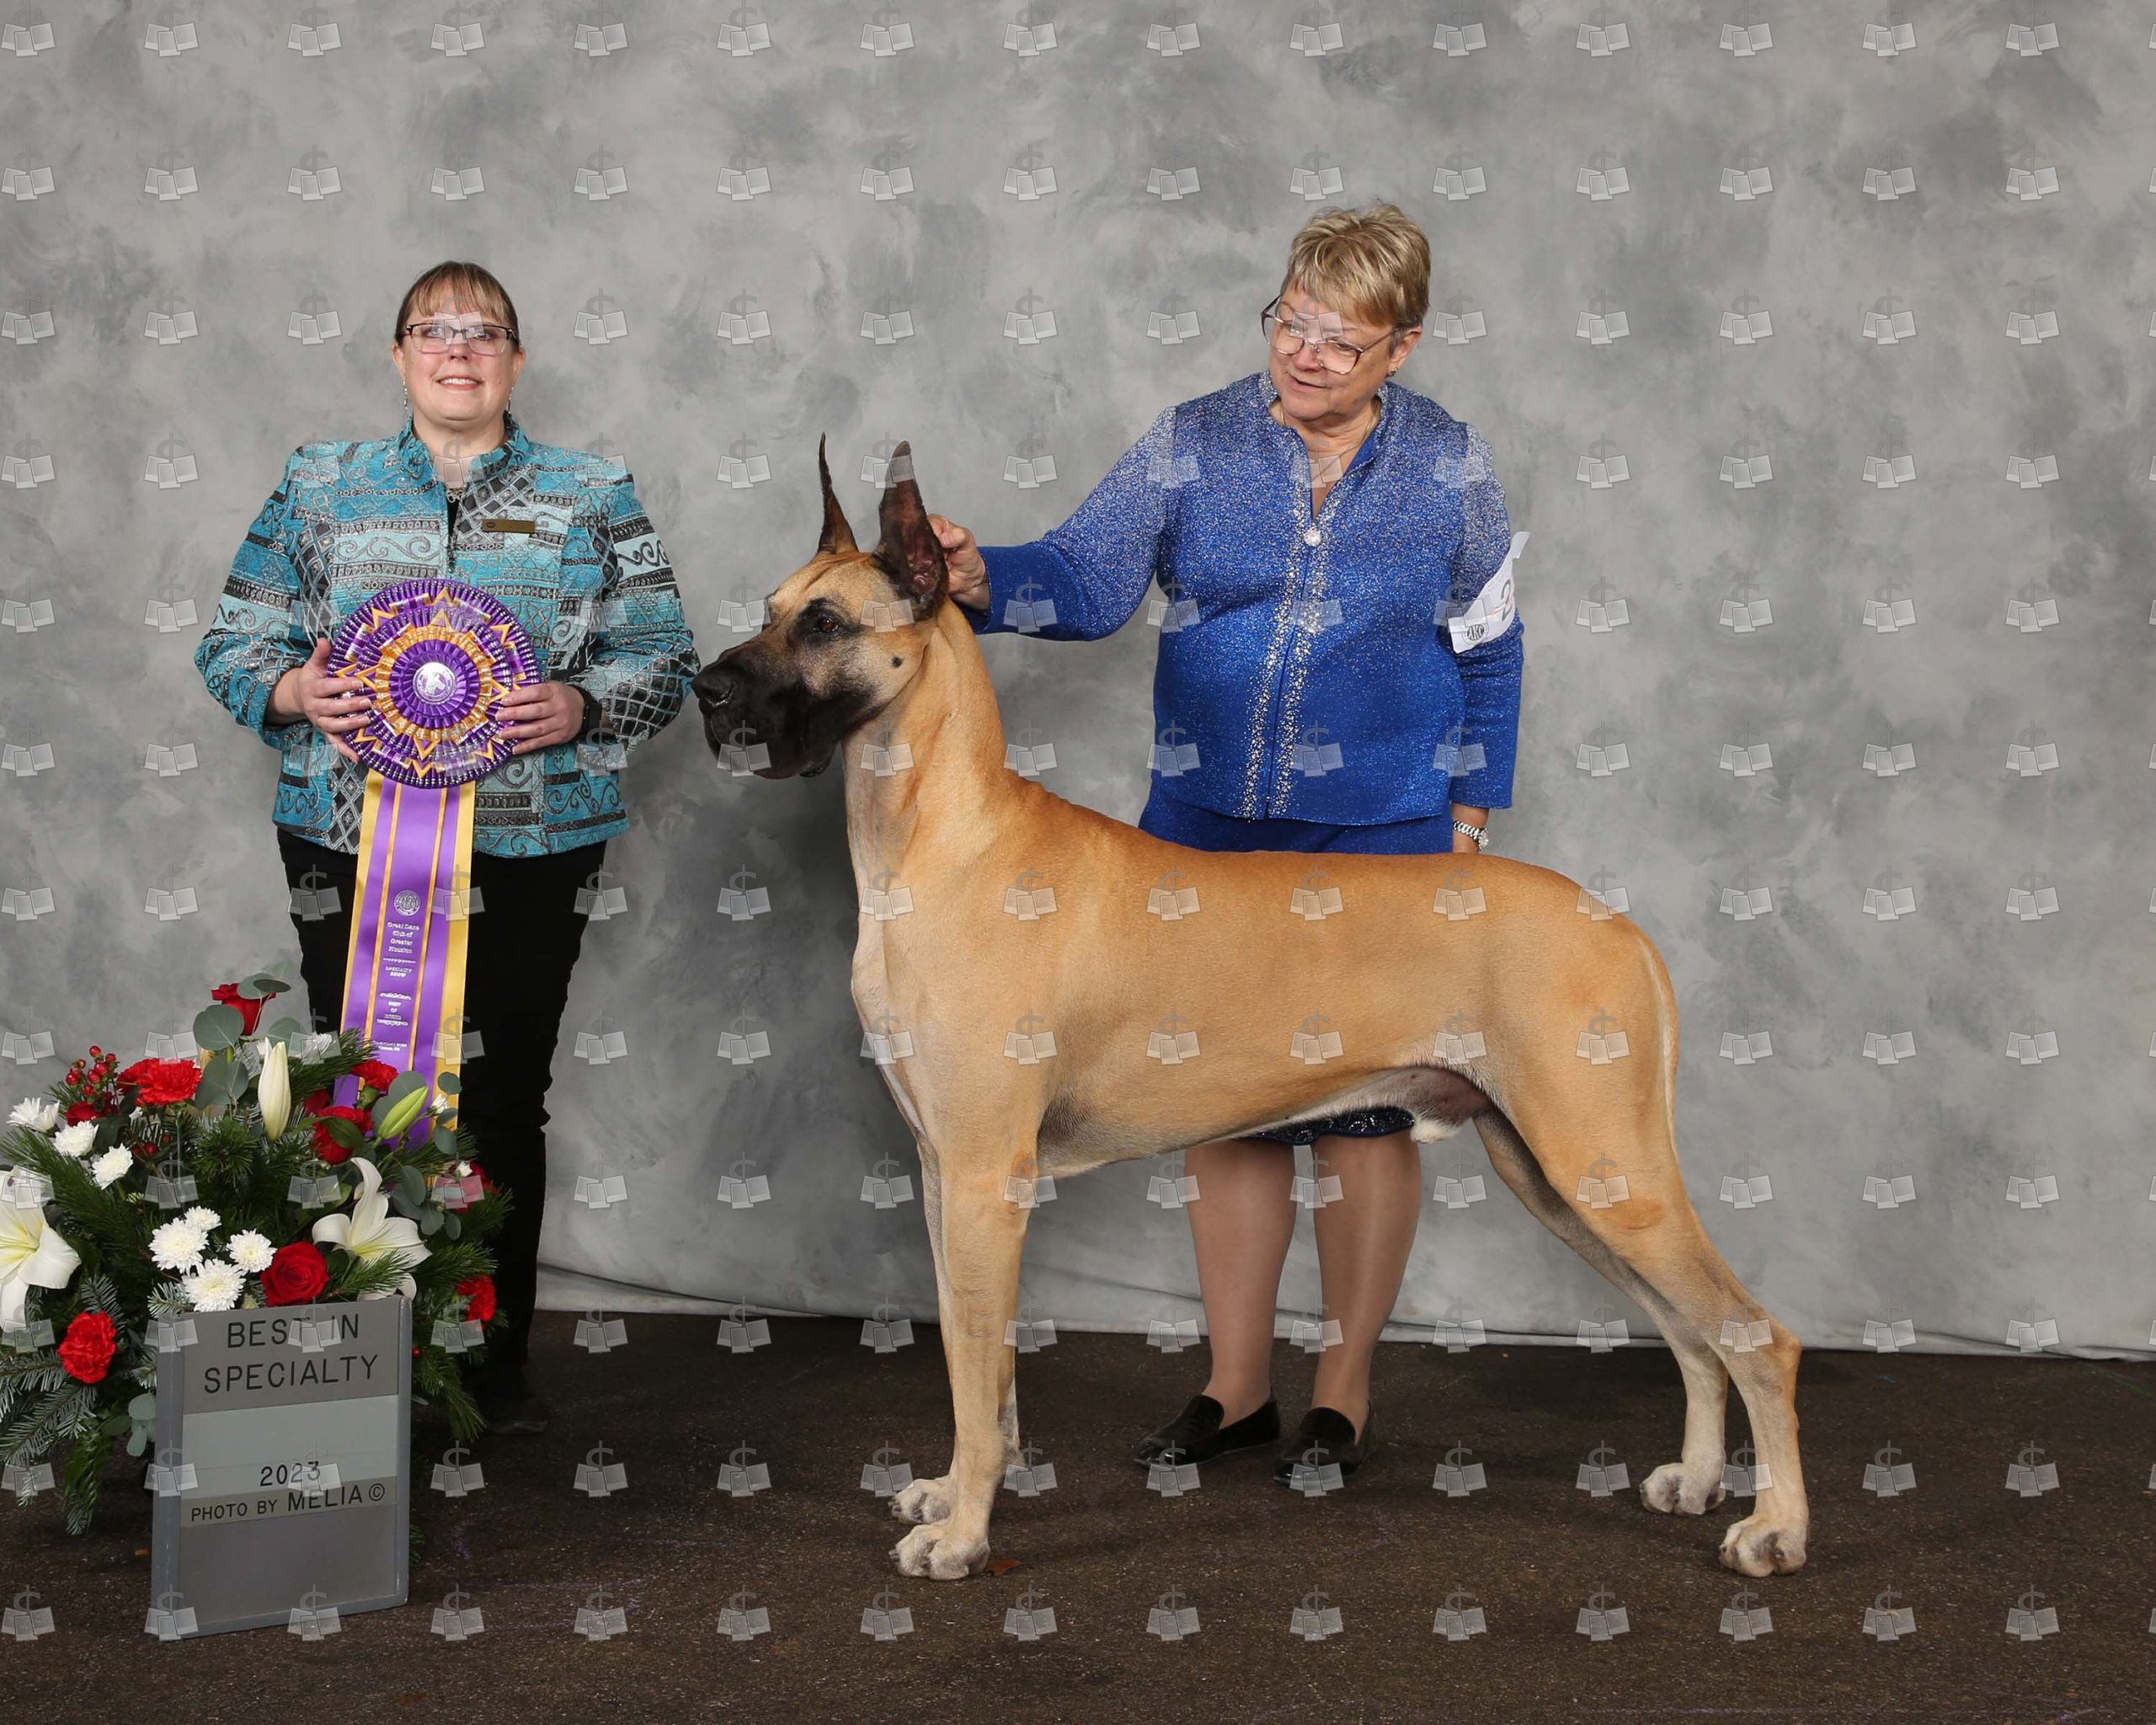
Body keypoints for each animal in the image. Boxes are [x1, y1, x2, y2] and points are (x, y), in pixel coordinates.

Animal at [690, 439, 1809, 1583]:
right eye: (771, 606)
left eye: (825, 623)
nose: (704, 686)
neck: (939, 835)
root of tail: (1617, 924)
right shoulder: (941, 1171)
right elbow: (984, 1371)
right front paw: (957, 1492)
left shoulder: (981, 1175)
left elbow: (971, 1371)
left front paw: (963, 1531)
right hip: (1553, 1169)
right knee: (1691, 1332)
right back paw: (1695, 1477)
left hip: (1601, 1160)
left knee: (1754, 1333)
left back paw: (1776, 1526)